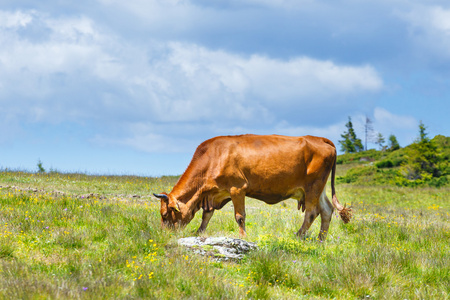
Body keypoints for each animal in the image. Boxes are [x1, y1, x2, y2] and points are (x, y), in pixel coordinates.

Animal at [155, 135, 352, 240]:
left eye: (164, 214)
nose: (163, 234)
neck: (213, 157)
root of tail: (321, 139)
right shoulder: (213, 194)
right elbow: (207, 215)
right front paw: (199, 232)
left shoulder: (237, 189)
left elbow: (239, 216)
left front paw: (242, 235)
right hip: (319, 188)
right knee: (326, 210)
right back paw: (320, 239)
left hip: (313, 186)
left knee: (311, 213)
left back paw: (298, 235)